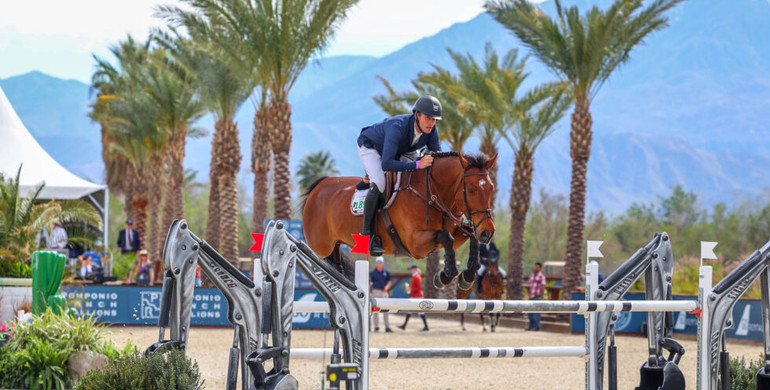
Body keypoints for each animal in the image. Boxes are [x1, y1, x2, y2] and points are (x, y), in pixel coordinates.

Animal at [296, 152, 496, 290]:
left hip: (335, 246)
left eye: (491, 188)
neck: (431, 192)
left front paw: (467, 276)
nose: (488, 232)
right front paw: (445, 276)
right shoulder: (415, 244)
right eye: (471, 190)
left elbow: (468, 236)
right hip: (321, 248)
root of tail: (319, 186)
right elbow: (446, 237)